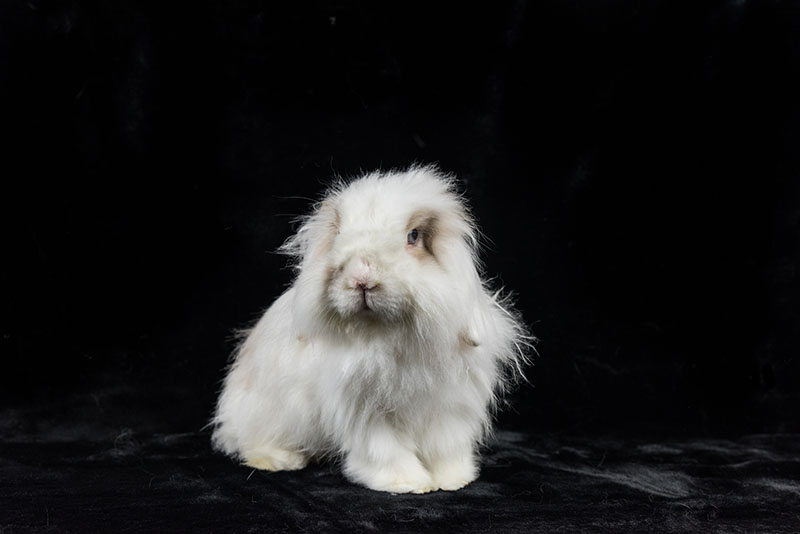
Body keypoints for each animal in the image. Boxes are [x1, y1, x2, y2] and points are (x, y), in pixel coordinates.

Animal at [211, 165, 531, 494]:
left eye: (413, 236)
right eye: (339, 234)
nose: (361, 279)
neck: (388, 335)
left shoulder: (449, 408)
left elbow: (445, 446)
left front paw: (453, 479)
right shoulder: (366, 413)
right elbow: (385, 449)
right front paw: (406, 483)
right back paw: (278, 460)